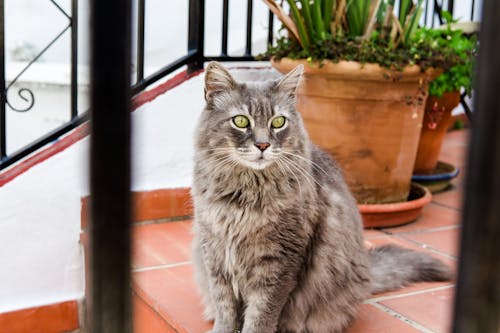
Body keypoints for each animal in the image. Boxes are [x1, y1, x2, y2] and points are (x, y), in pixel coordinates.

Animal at [190, 61, 450, 330]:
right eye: (241, 121)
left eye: (278, 122)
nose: (263, 145)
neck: (244, 193)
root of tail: (366, 269)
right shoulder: (215, 253)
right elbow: (225, 308)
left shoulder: (279, 260)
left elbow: (261, 314)